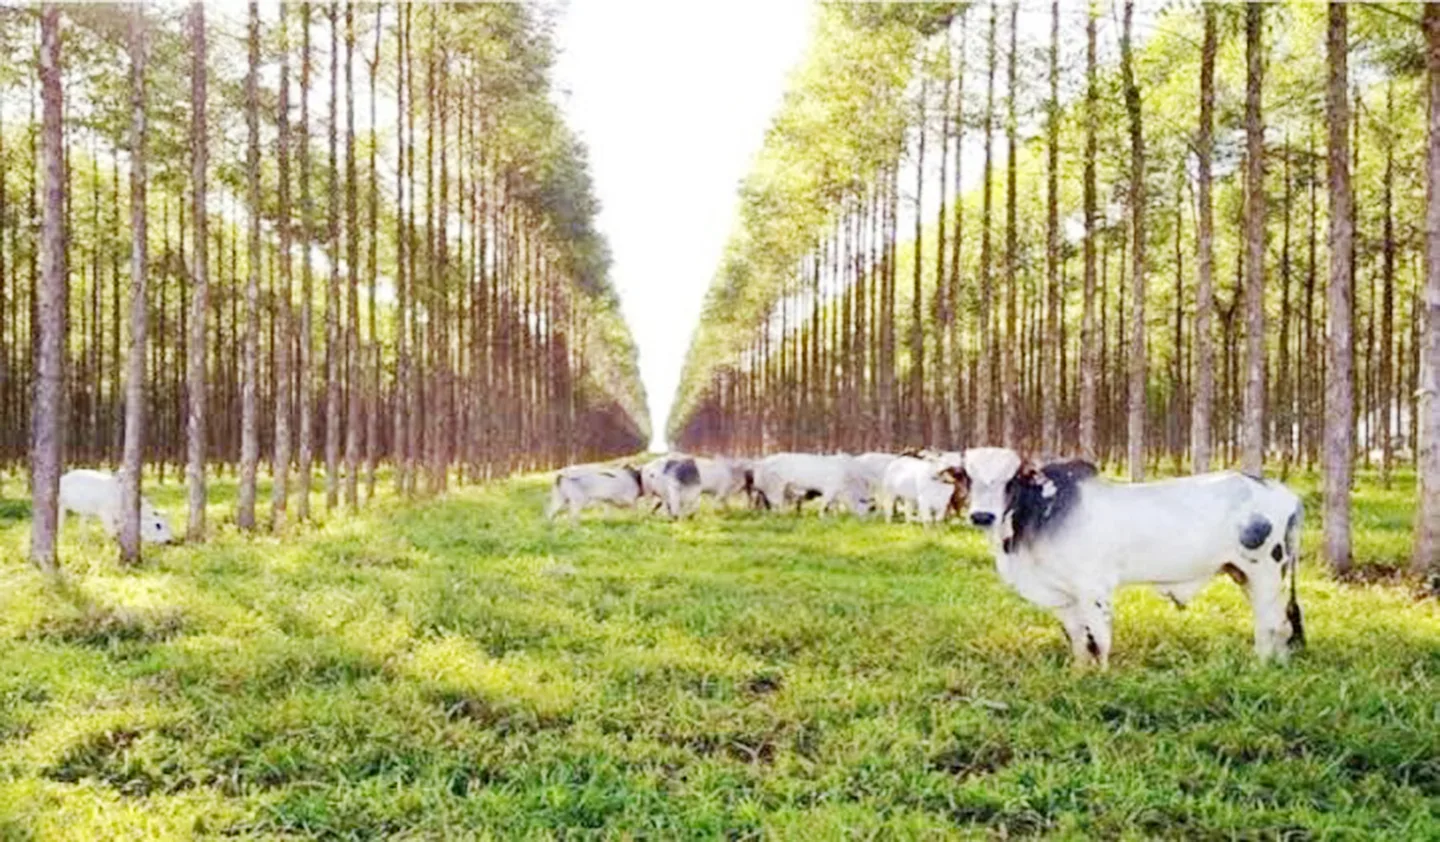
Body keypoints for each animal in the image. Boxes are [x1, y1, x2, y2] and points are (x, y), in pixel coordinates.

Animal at [956, 446, 1307, 670]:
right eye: (967, 477)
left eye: (1012, 478)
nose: (982, 516)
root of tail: (1287, 495)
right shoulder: (1064, 598)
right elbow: (1078, 640)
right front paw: (1078, 675)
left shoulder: (1093, 590)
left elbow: (1099, 640)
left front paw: (1102, 677)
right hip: (1245, 575)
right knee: (1280, 627)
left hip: (1266, 574)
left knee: (1271, 625)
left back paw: (1260, 668)